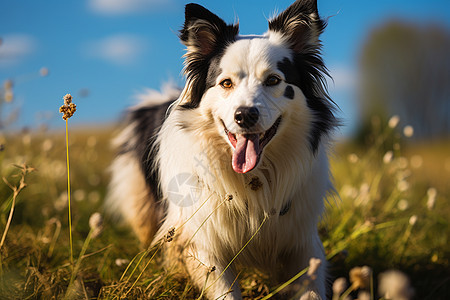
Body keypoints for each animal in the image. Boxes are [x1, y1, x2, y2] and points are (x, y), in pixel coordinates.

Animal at [107, 1, 336, 298]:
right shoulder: (206, 244)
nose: (245, 115)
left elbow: (311, 286)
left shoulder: (301, 240)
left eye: (273, 80)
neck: (256, 178)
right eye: (226, 83)